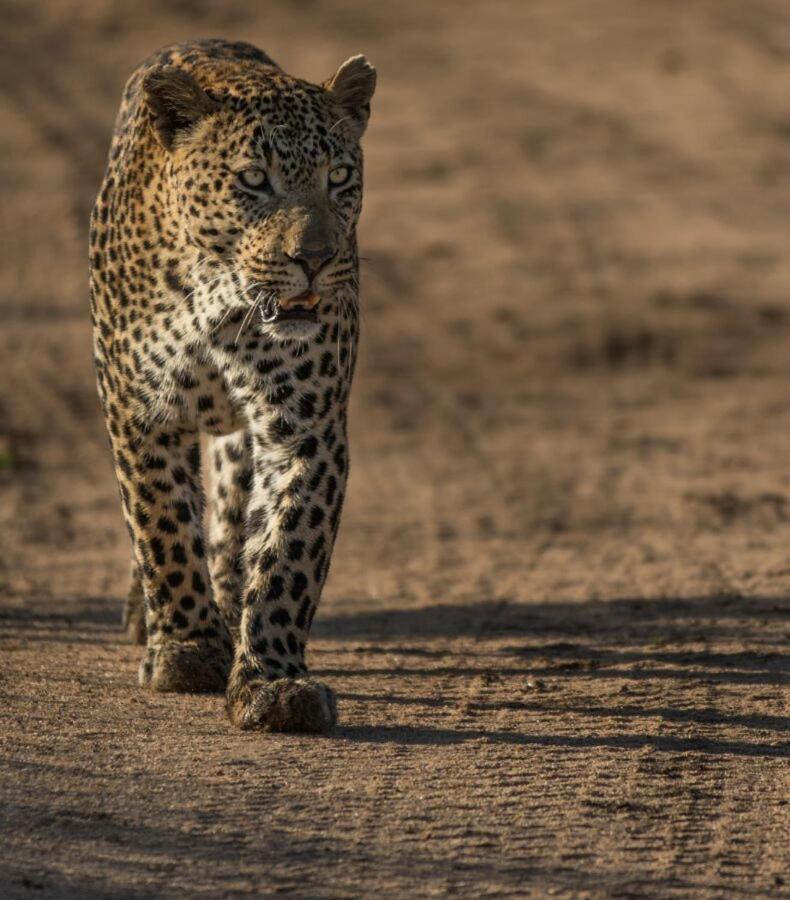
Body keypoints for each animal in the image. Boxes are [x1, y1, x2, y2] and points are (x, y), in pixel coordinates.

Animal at [89, 39, 376, 732]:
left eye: (339, 178)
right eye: (253, 180)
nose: (315, 259)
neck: (219, 298)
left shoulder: (304, 429)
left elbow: (286, 554)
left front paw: (273, 681)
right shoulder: (140, 411)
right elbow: (161, 525)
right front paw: (188, 650)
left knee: (228, 519)